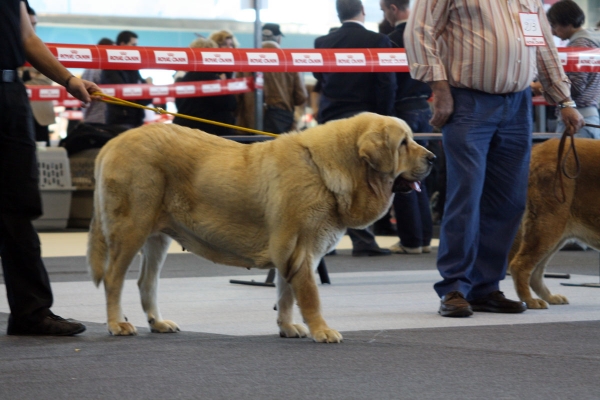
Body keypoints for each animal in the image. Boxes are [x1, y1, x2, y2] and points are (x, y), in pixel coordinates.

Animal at [89, 111, 434, 340]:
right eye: (403, 143)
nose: (432, 158)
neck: (327, 168)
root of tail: (112, 143)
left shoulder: (291, 252)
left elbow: (286, 294)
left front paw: (288, 327)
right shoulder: (301, 249)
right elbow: (310, 295)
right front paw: (321, 330)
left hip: (157, 238)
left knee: (146, 283)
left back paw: (158, 323)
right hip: (130, 230)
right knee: (113, 279)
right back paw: (116, 324)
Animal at [510, 138, 600, 310]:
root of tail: (537, 148)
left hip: (555, 234)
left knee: (536, 272)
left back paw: (549, 298)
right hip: (548, 227)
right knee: (519, 265)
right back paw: (529, 301)